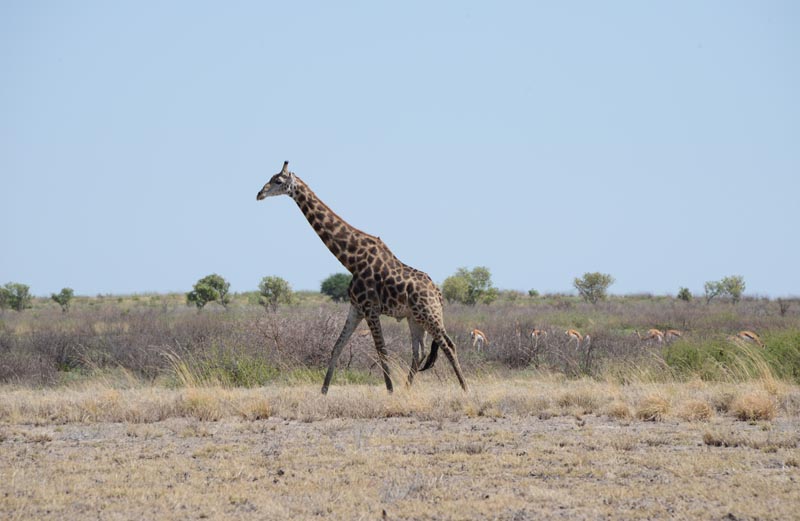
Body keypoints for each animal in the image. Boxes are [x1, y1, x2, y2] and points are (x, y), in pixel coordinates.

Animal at [257, 161, 468, 394]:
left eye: (278, 181)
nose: (259, 194)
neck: (351, 259)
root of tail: (438, 293)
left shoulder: (370, 308)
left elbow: (381, 350)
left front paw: (389, 391)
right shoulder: (356, 308)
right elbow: (337, 347)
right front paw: (323, 391)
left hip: (429, 314)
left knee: (449, 345)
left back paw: (465, 389)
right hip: (415, 318)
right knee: (419, 352)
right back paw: (407, 388)